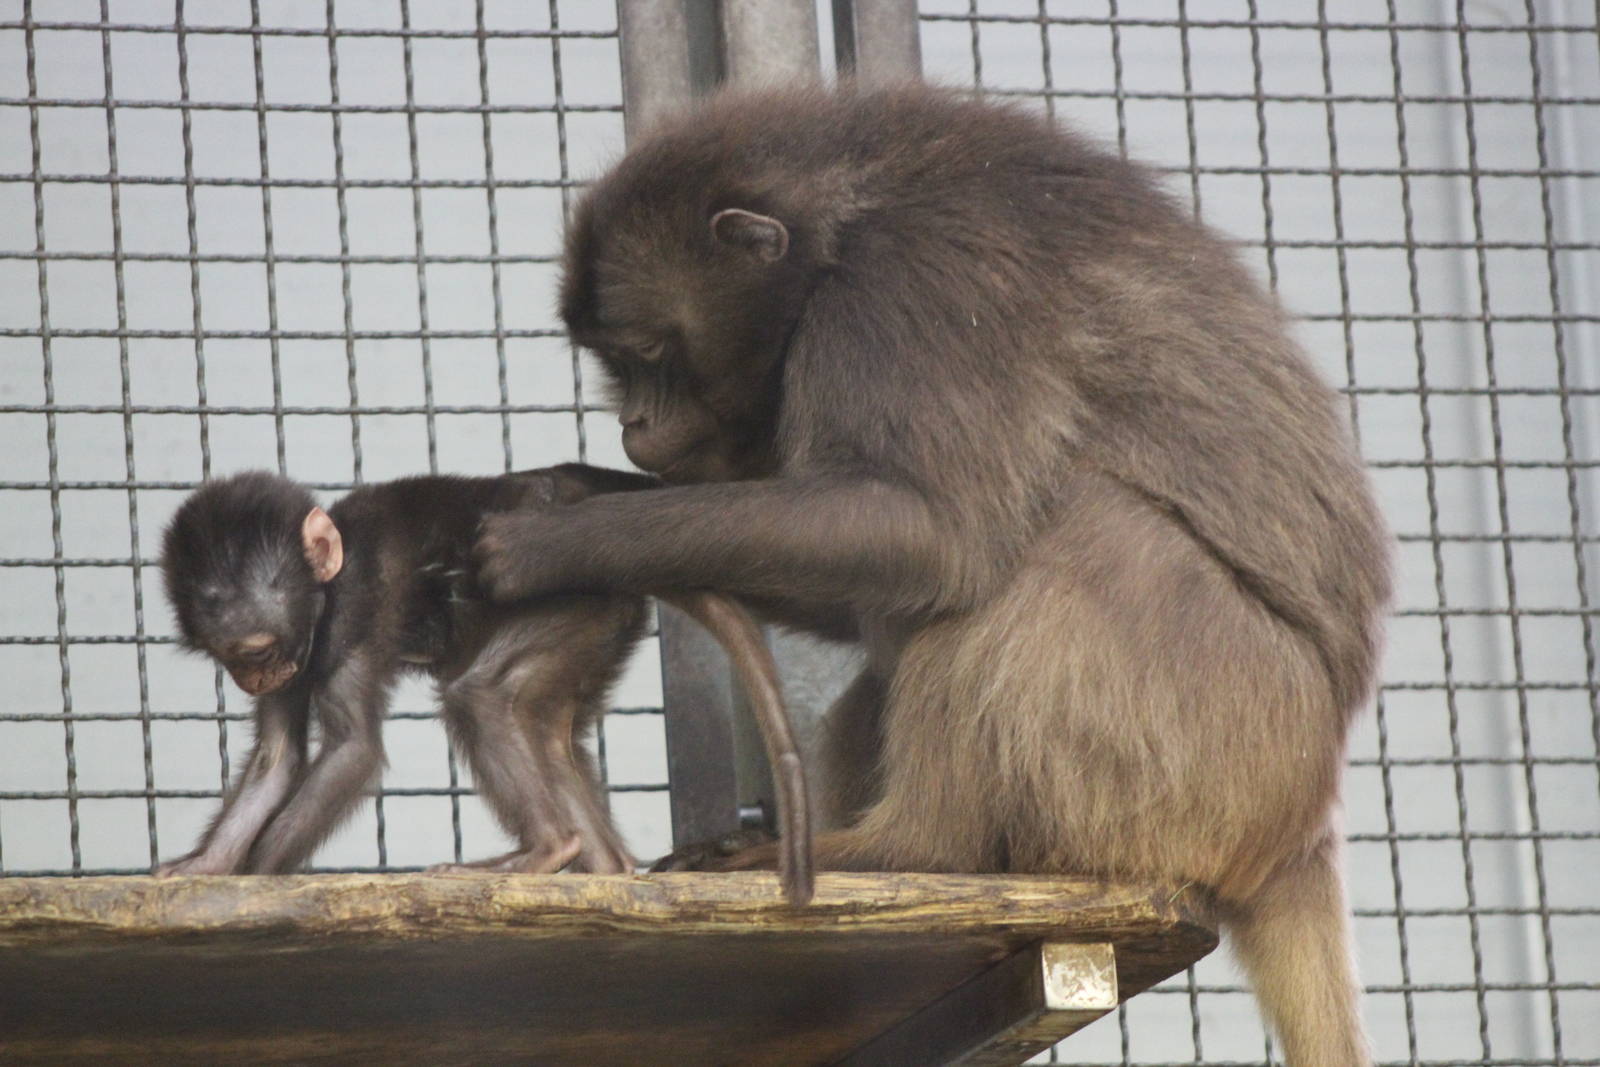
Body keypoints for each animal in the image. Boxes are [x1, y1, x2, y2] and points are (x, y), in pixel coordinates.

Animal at [157, 464, 813, 904]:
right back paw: (604, 866)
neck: (326, 586)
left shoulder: (353, 610)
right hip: (606, 624)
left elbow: (351, 749)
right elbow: (276, 758)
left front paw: (257, 875)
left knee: (483, 696)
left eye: (257, 649)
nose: (254, 675)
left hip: (575, 604)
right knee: (548, 733)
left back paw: (548, 849)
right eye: (231, 658)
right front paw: (206, 867)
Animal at [472, 85, 1391, 1065]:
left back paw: (910, 849)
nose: (634, 425)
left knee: (1073, 528)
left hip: (1225, 741)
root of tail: (1300, 822)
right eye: (618, 364)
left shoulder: (910, 288)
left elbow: (931, 535)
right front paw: (584, 495)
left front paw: (567, 536)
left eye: (650, 353)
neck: (843, 214)